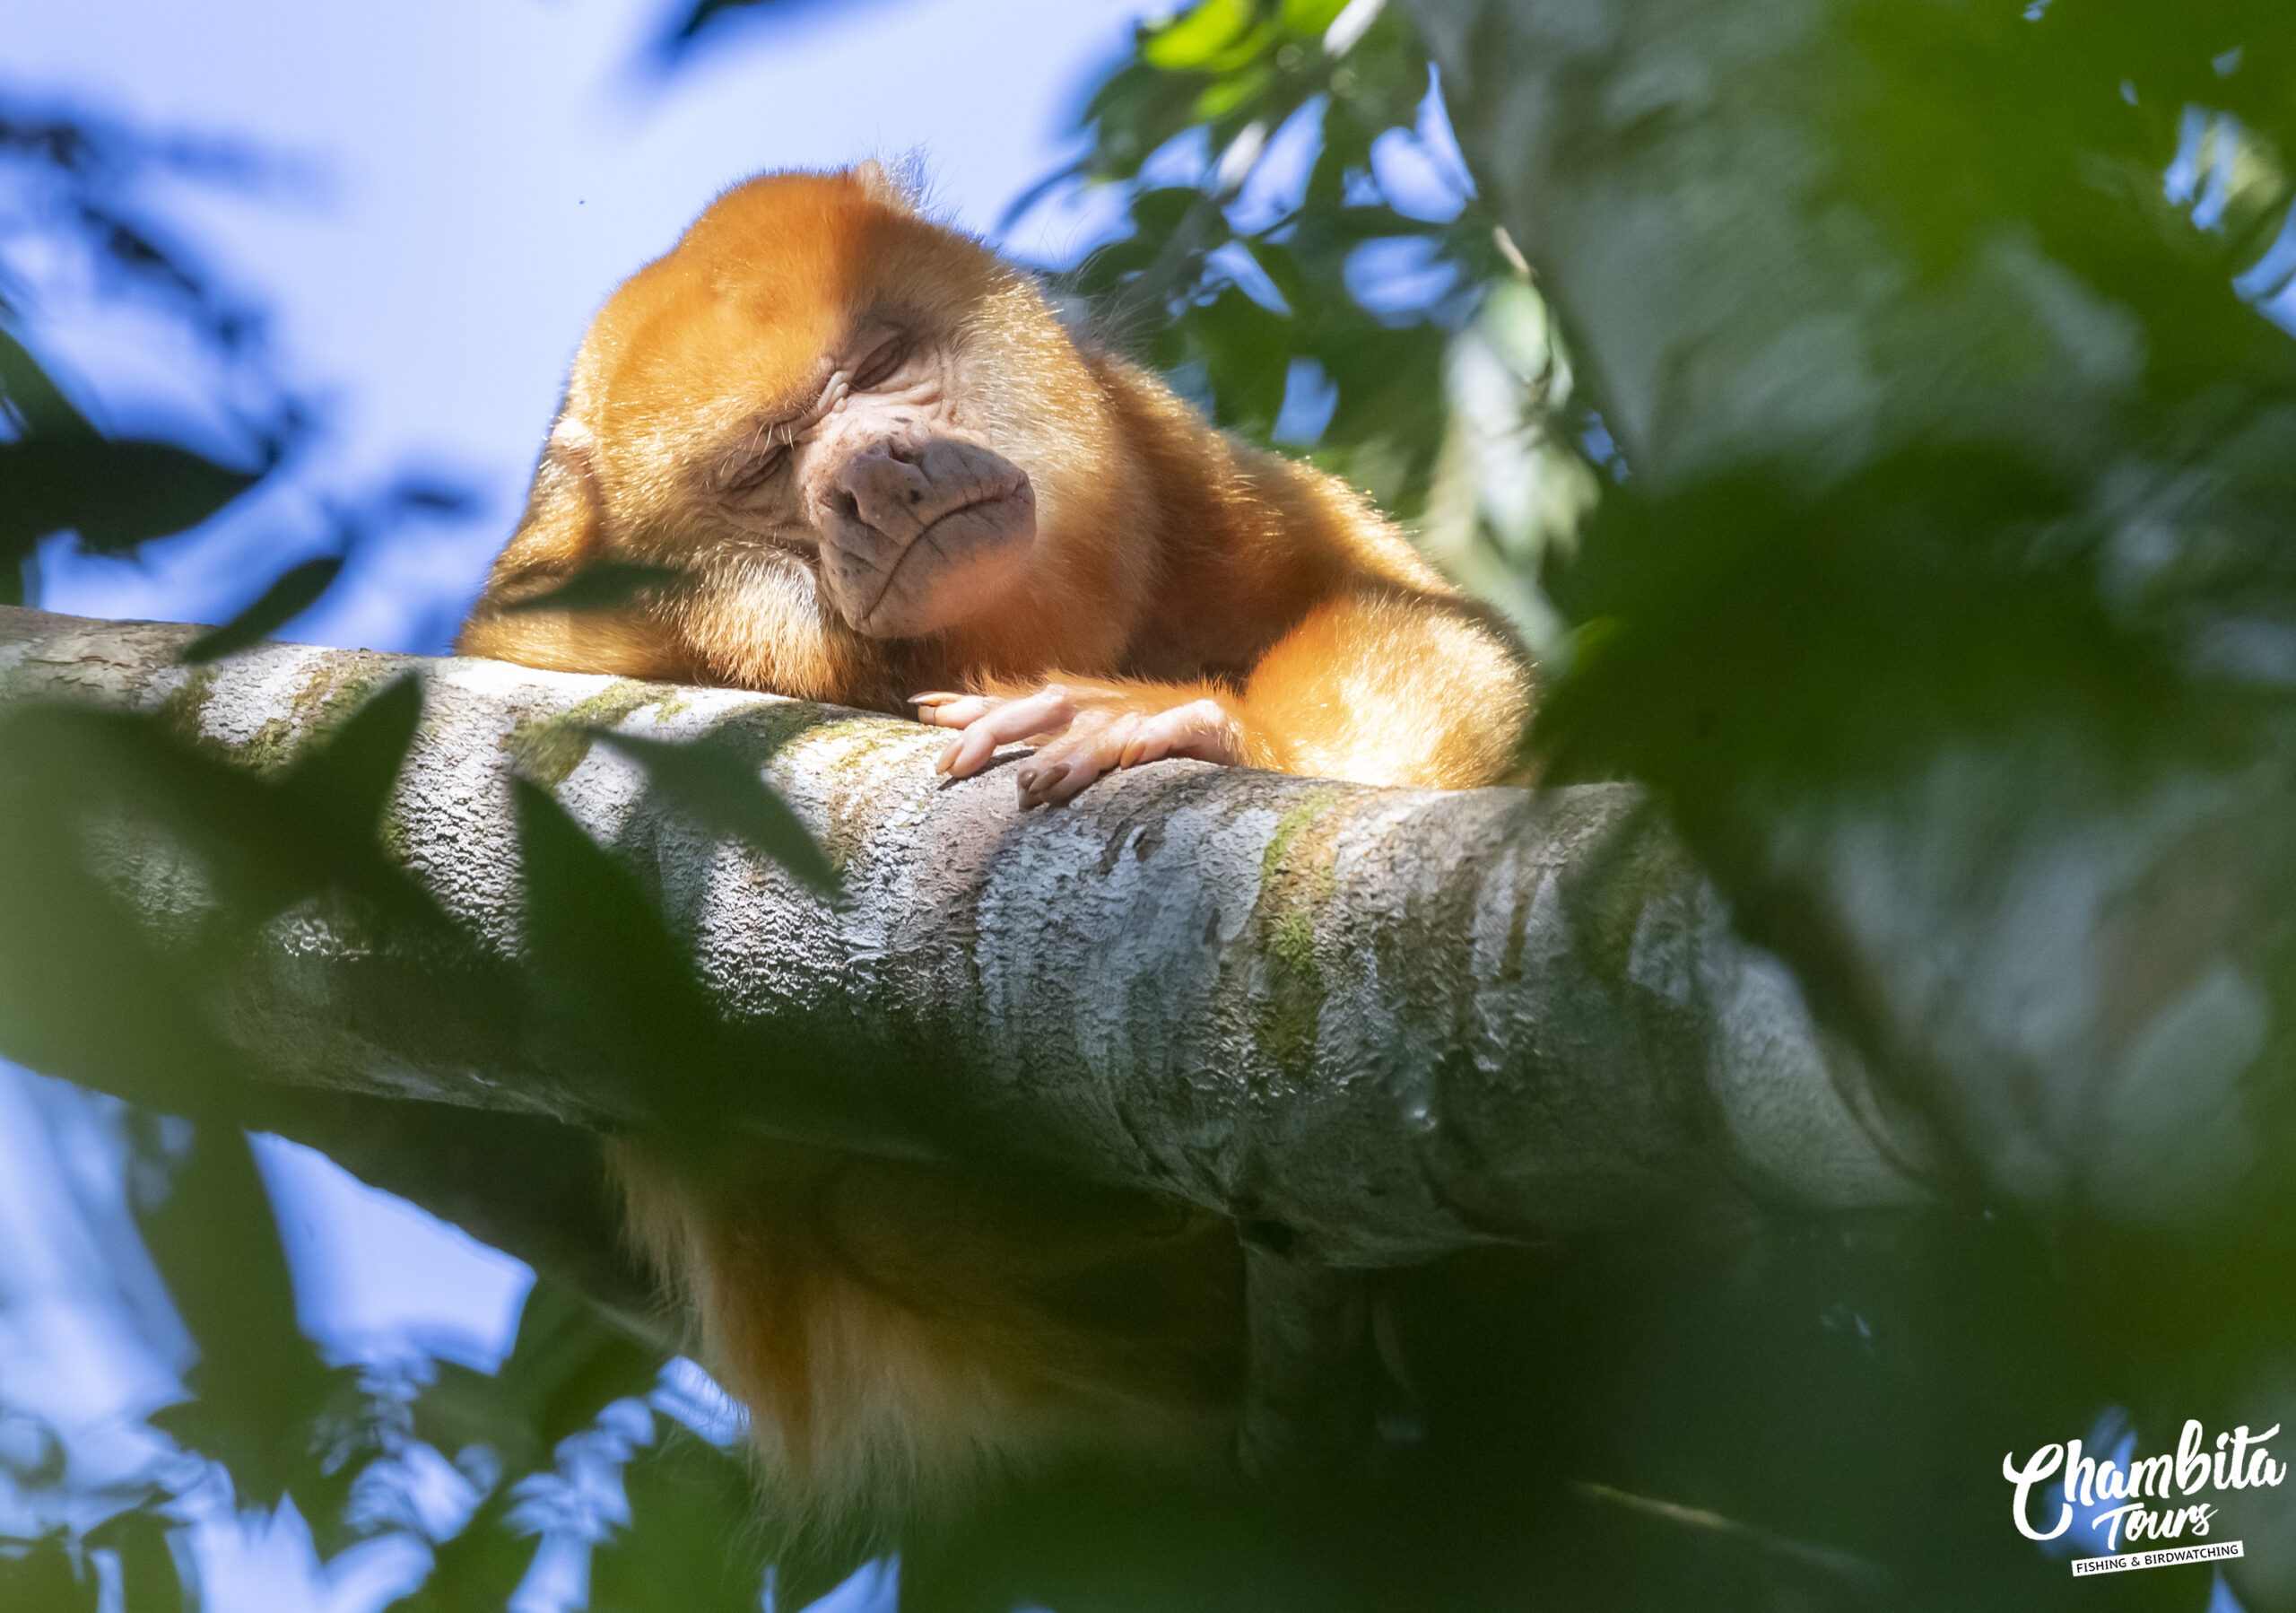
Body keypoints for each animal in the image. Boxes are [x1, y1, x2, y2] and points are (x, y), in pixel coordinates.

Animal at [457, 167, 1534, 1544]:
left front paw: (1202, 726)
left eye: (877, 368)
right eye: (768, 465)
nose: (874, 472)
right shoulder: (554, 635)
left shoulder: (1164, 453)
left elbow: (1424, 625)